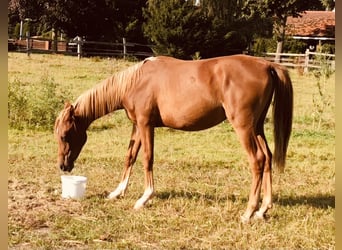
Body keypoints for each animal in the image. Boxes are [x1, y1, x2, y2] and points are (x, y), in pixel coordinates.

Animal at [54, 54, 292, 221]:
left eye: (65, 135)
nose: (63, 166)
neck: (136, 81)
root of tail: (267, 65)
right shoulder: (137, 125)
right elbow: (130, 156)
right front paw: (117, 192)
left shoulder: (145, 124)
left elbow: (147, 158)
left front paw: (144, 198)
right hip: (257, 128)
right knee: (268, 158)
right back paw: (263, 210)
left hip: (243, 127)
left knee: (257, 160)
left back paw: (248, 212)